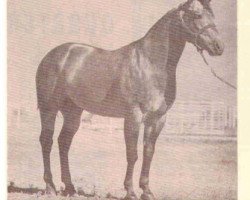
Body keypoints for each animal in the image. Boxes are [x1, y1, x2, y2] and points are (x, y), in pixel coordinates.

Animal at [35, 0, 225, 198]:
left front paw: (147, 191)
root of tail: (53, 55)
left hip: (72, 112)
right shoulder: (133, 116)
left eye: (212, 16)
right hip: (49, 108)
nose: (219, 47)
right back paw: (50, 186)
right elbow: (132, 153)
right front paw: (130, 191)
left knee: (64, 142)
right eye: (197, 15)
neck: (150, 64)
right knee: (46, 141)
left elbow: (148, 152)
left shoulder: (157, 118)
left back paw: (70, 188)